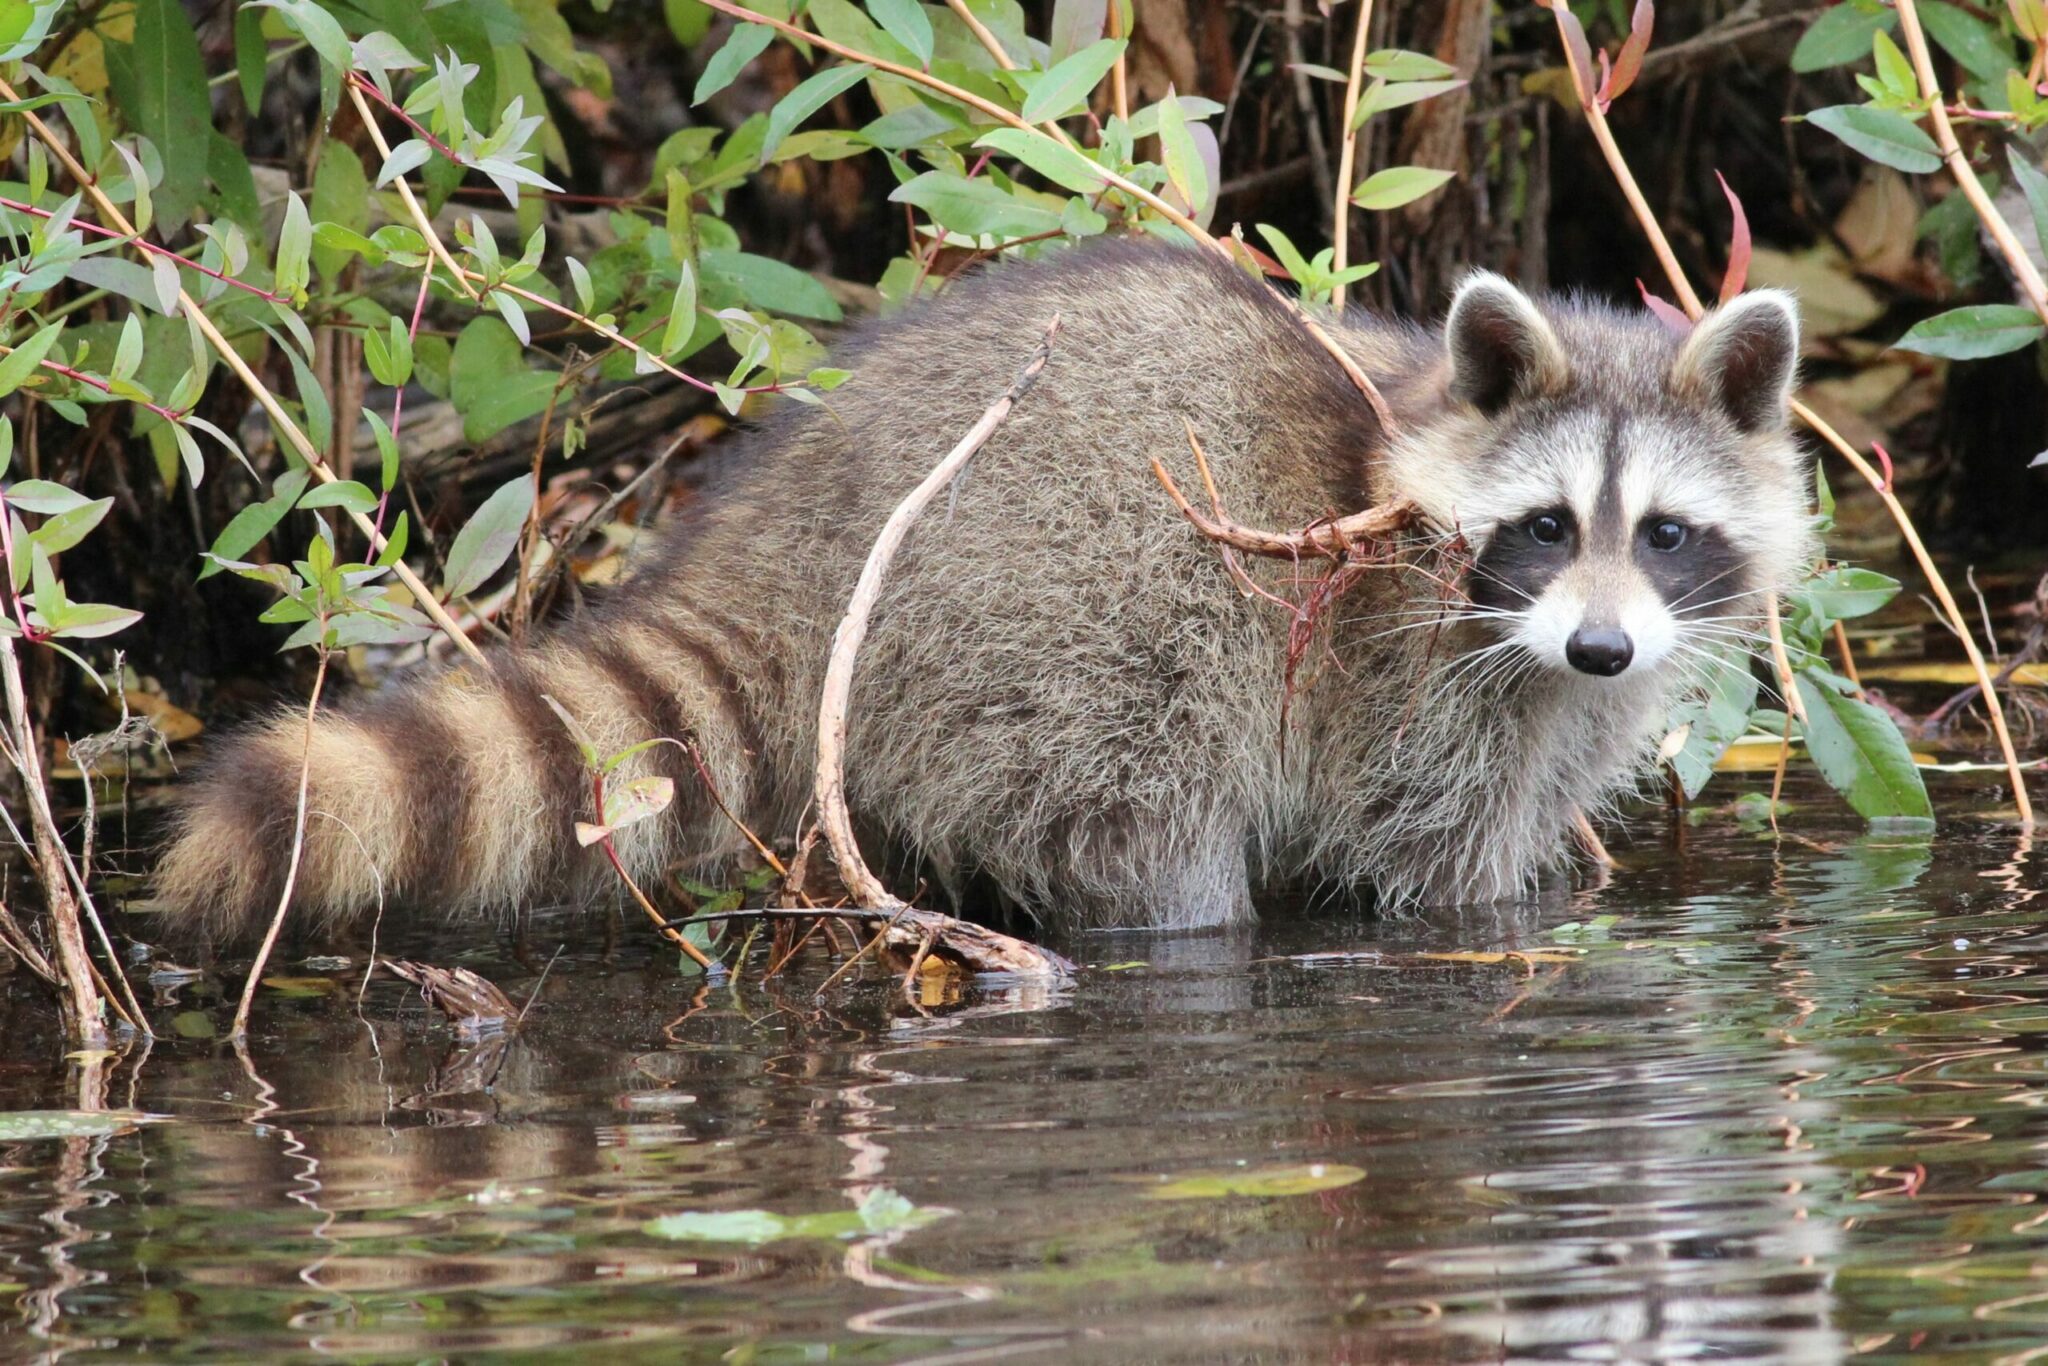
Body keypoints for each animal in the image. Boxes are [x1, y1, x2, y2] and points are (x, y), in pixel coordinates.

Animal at [151, 240, 1810, 933]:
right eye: (1546, 523)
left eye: (1667, 535)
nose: (1602, 651)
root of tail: (805, 518)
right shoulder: (1402, 671)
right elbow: (1434, 860)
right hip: (1058, 620)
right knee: (1148, 825)